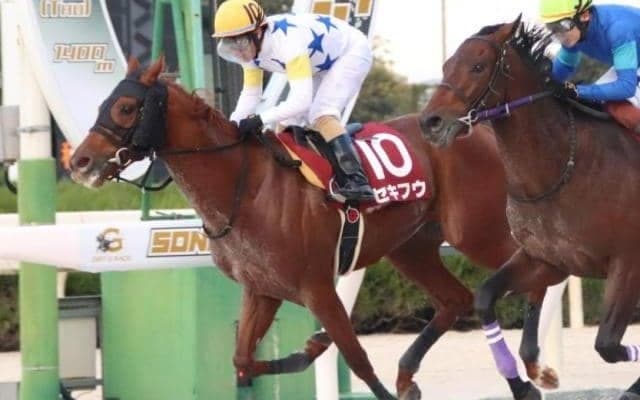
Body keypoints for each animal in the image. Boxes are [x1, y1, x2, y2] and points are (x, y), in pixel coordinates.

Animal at [69, 57, 557, 399]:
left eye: (126, 106)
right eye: (103, 102)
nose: (80, 162)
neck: (245, 188)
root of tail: (478, 130)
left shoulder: (317, 286)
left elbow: (358, 359)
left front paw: (325, 349)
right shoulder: (262, 288)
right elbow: (243, 359)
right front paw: (310, 348)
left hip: (479, 232)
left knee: (541, 271)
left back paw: (535, 367)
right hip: (411, 247)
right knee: (457, 299)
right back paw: (409, 375)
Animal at [420, 16, 640, 400]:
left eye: (477, 67)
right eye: (447, 65)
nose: (430, 123)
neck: (563, 167)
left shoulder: (627, 263)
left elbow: (608, 345)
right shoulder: (547, 260)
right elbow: (485, 298)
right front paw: (523, 385)